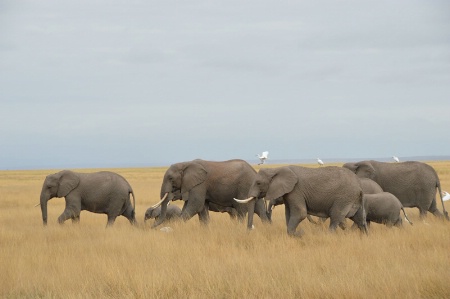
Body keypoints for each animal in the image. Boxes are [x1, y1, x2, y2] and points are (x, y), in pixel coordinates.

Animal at [234, 166, 368, 237]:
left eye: (258, 183)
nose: (250, 230)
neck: (276, 169)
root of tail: (359, 186)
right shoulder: (289, 194)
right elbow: (288, 214)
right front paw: (296, 234)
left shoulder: (295, 191)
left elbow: (300, 213)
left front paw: (299, 234)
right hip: (353, 198)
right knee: (360, 219)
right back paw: (364, 237)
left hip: (343, 197)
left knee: (335, 217)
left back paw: (329, 236)